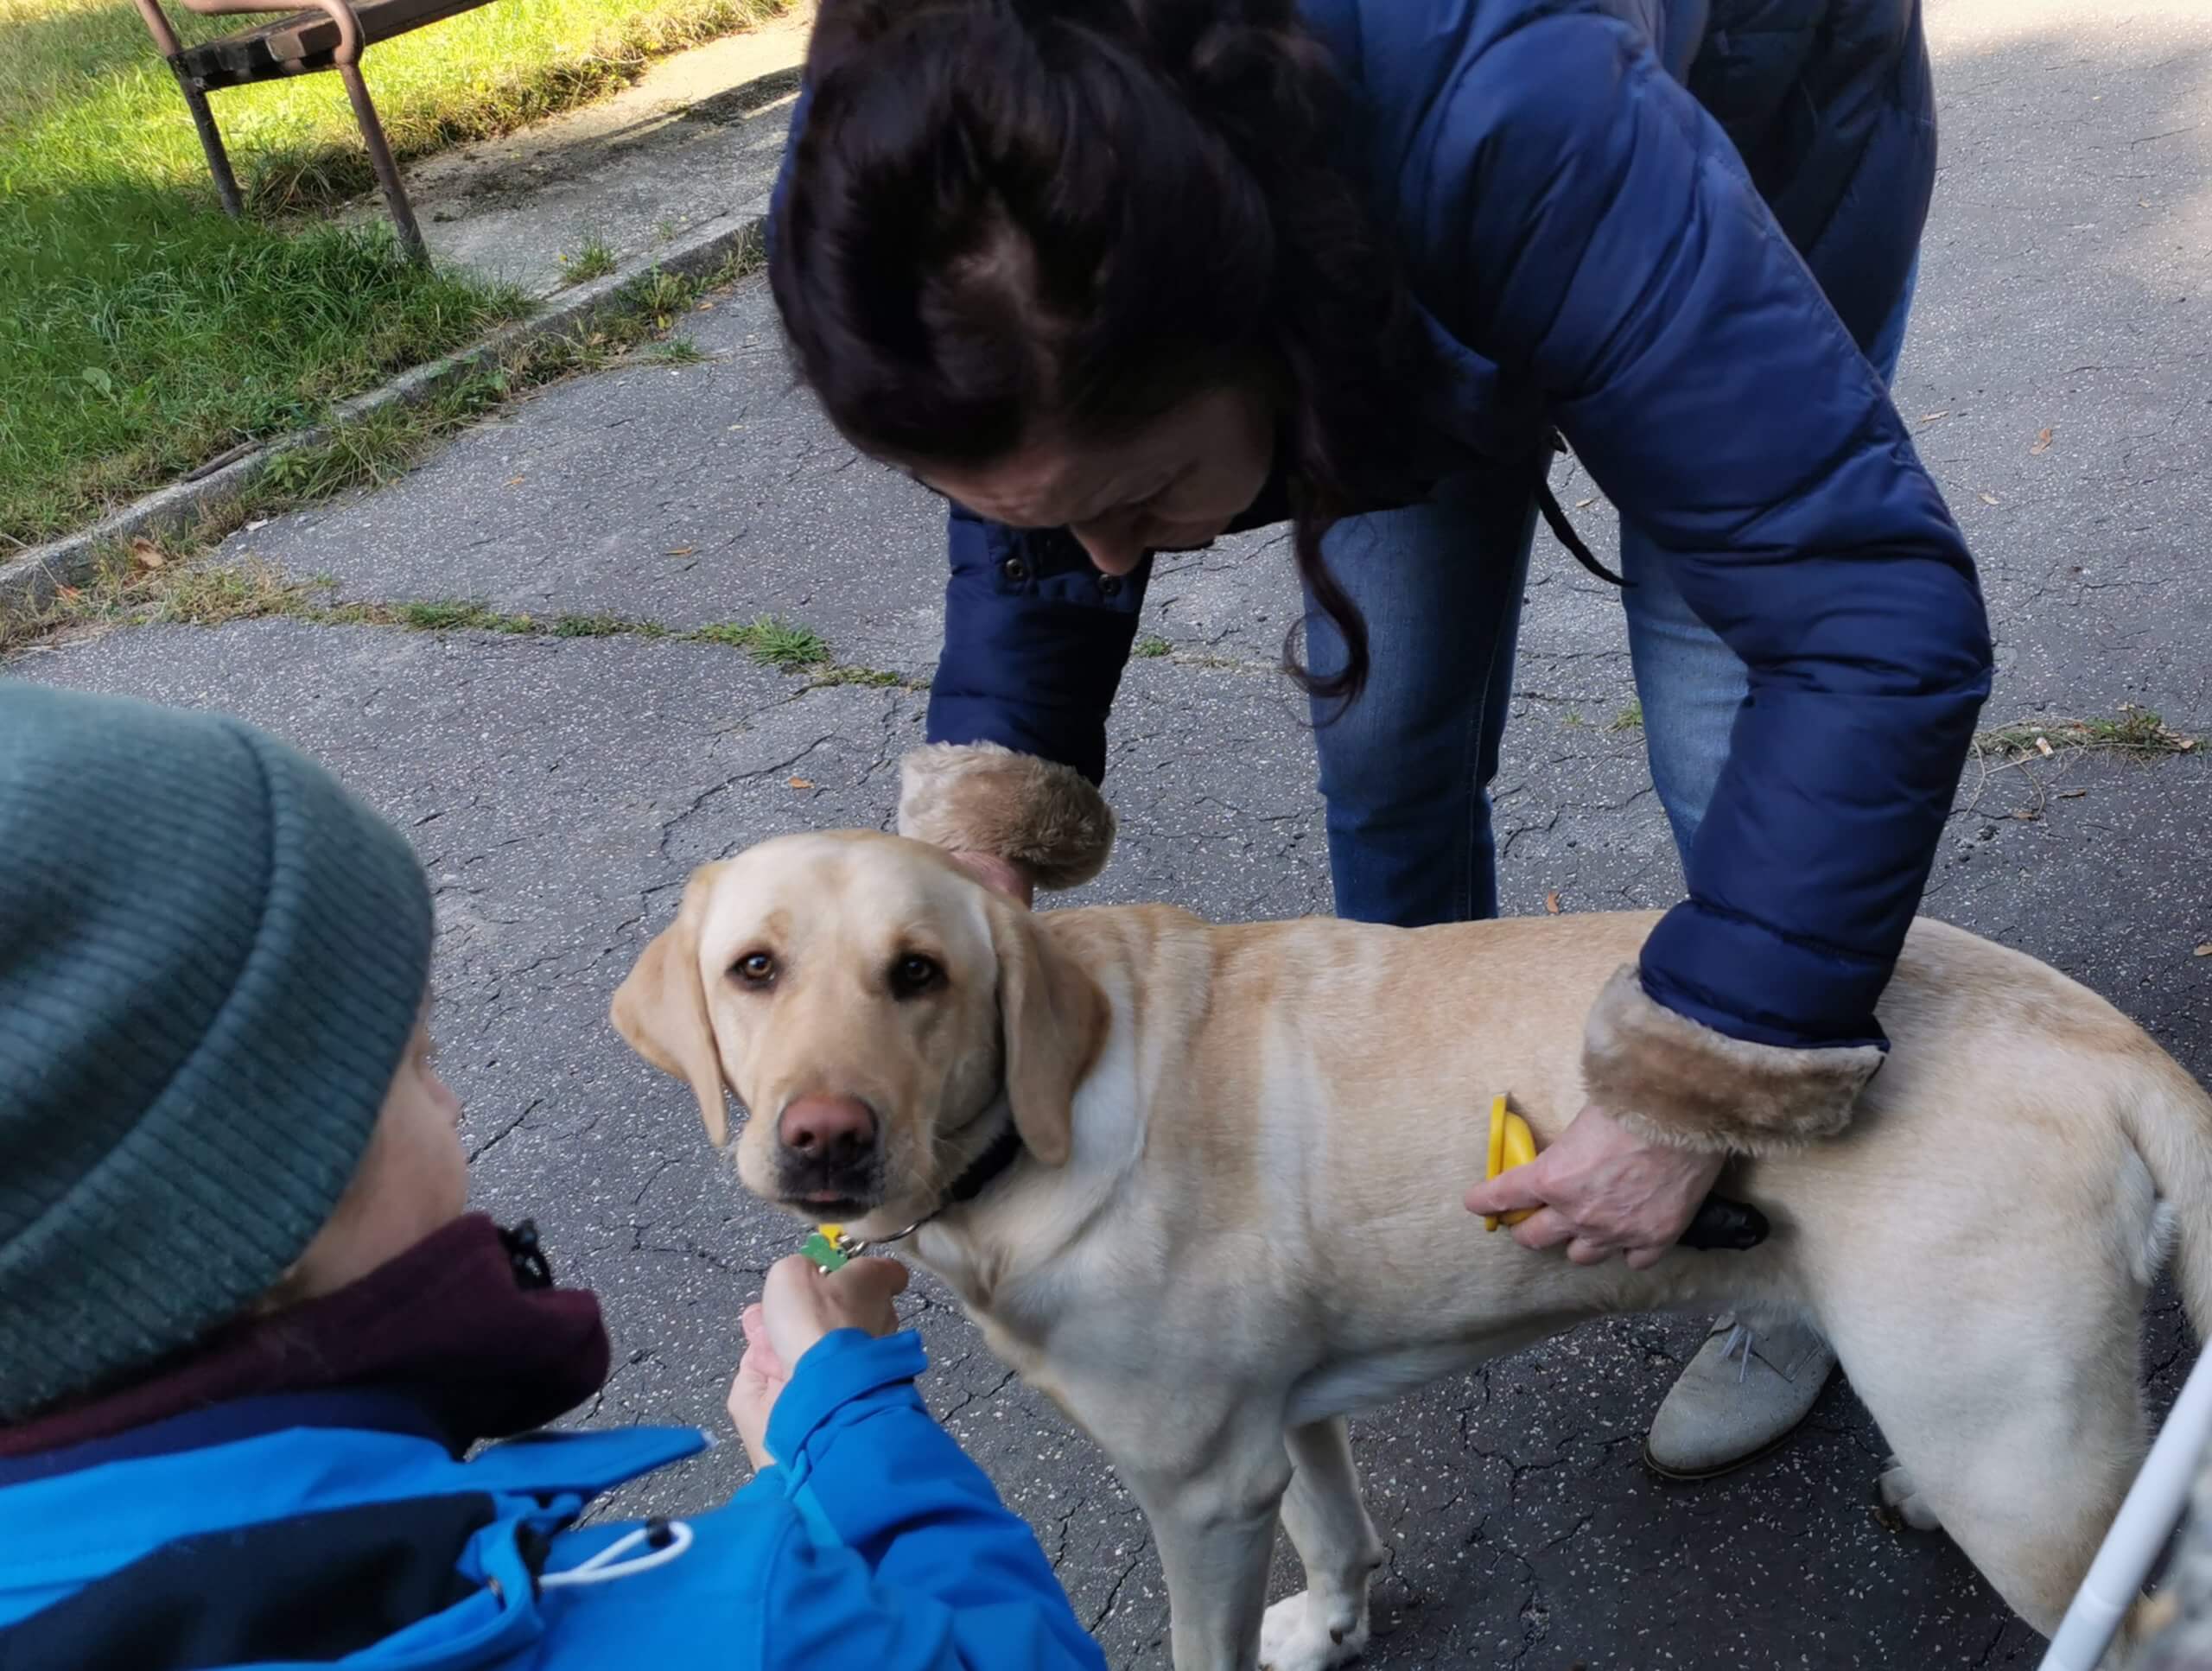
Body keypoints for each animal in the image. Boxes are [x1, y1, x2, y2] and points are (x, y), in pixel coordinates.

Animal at [610, 832, 2212, 1664]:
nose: (823, 1137)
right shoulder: (1282, 1421)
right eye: (754, 968)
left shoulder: (1199, 1491)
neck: (1044, 1115)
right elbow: (1340, 1529)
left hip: (2012, 1462)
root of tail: (2111, 1044)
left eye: (921, 974)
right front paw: (1330, 1625)